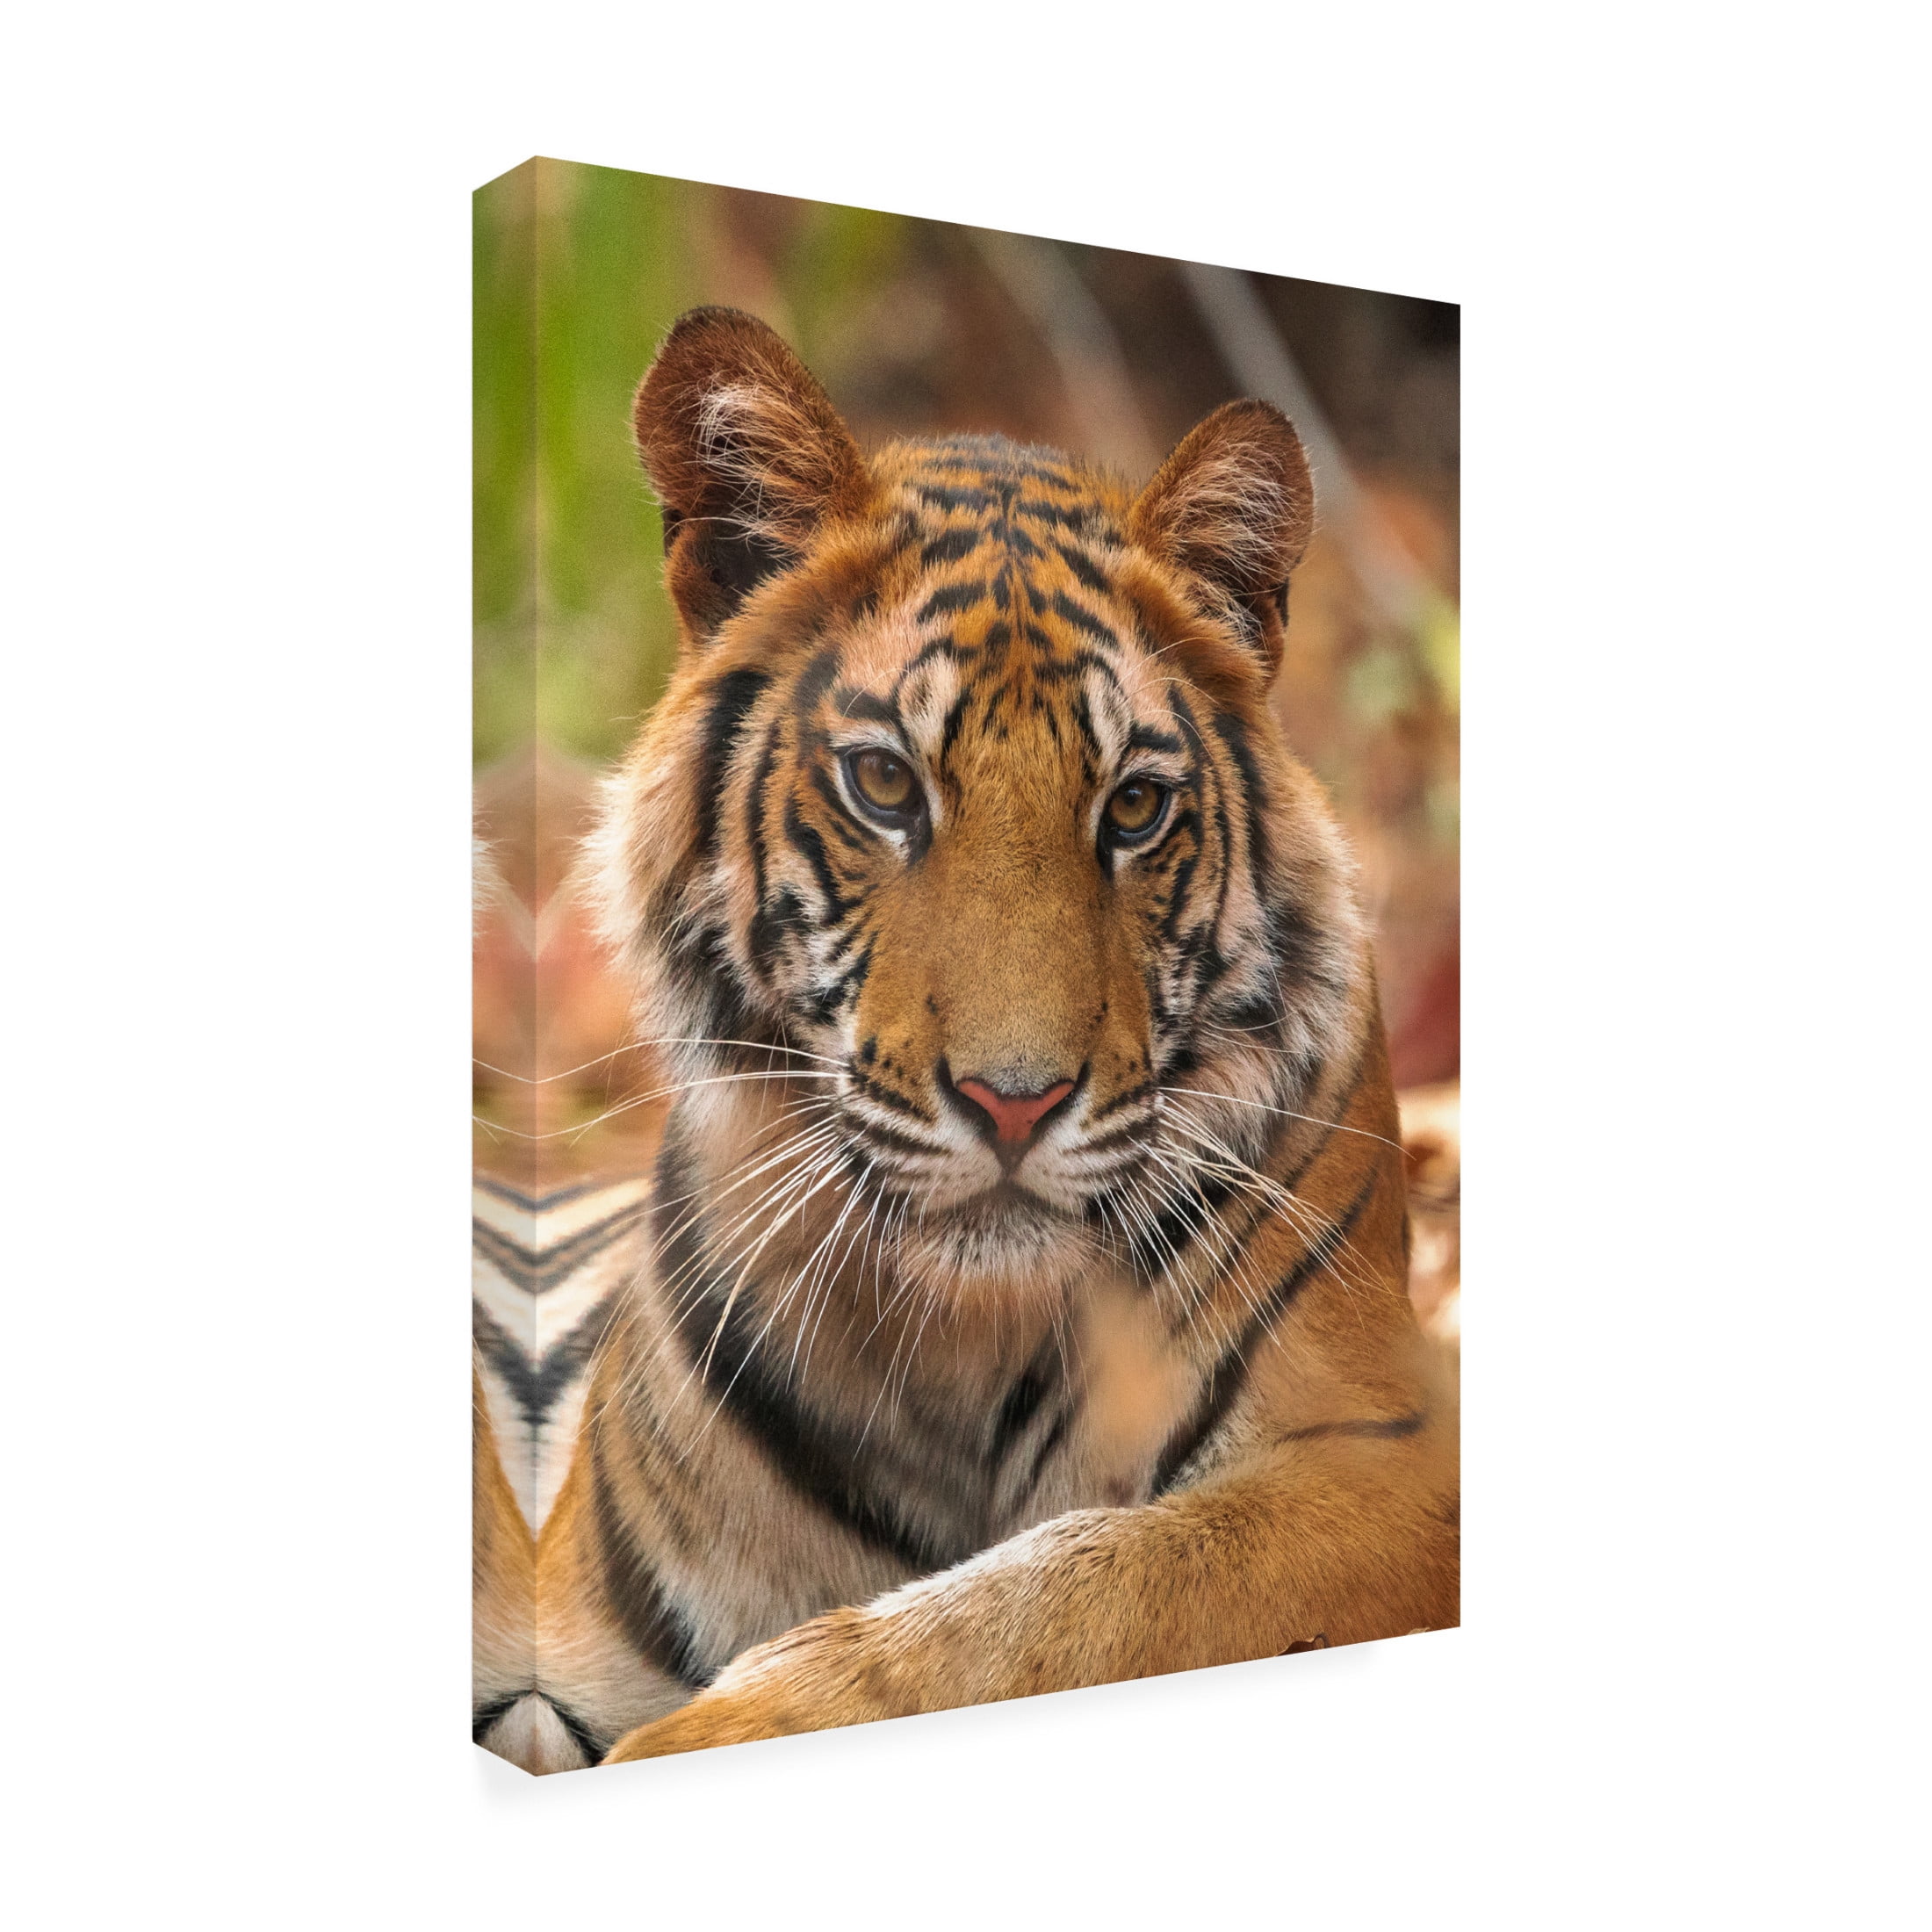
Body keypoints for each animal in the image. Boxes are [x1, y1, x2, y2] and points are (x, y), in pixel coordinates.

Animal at [472, 304, 1459, 1774]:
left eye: (1135, 808)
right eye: (885, 784)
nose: (1014, 1102)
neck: (957, 1345)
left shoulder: (1387, 1463)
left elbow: (1077, 1593)